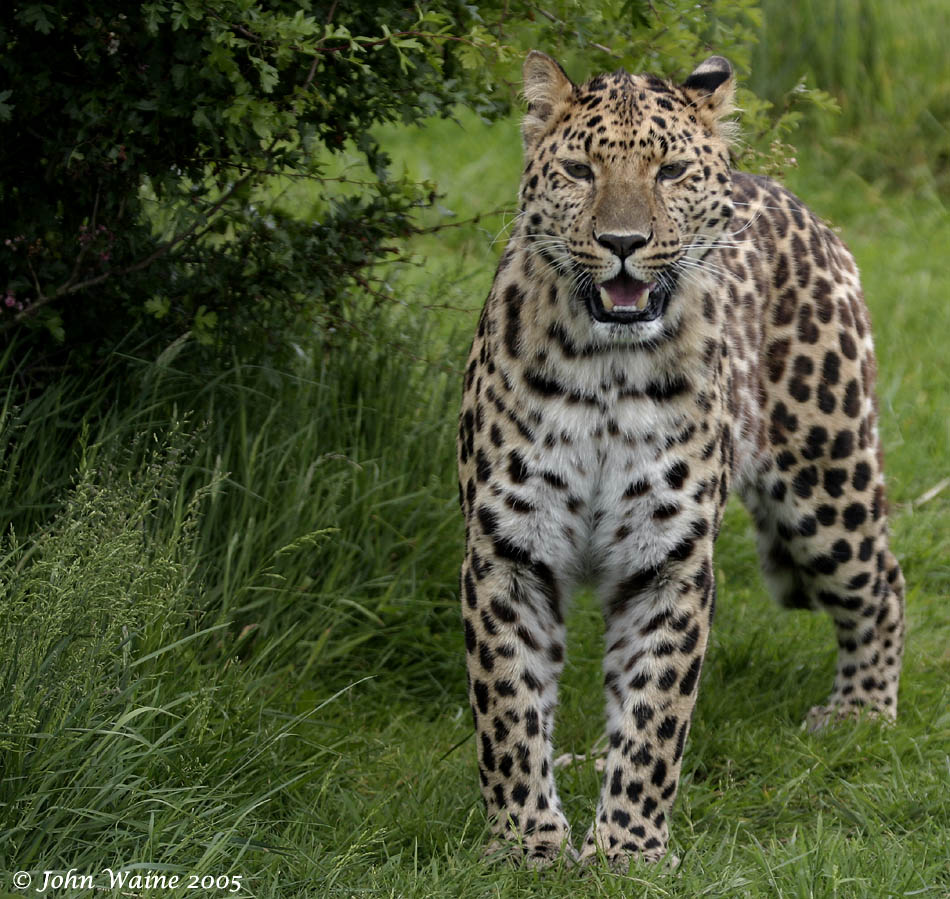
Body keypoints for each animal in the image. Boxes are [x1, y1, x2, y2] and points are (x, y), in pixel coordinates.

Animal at [458, 52, 904, 868]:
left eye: (668, 171)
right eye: (579, 169)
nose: (622, 240)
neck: (605, 366)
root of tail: (786, 195)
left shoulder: (669, 556)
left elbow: (657, 712)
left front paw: (626, 850)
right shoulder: (507, 548)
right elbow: (508, 707)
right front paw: (526, 843)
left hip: (828, 474)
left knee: (882, 582)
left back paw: (860, 712)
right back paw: (583, 762)